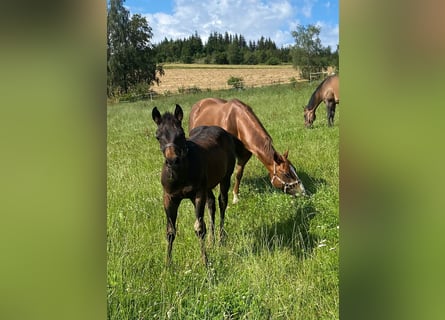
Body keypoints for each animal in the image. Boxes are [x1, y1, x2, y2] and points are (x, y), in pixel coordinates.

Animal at [152, 105, 236, 264]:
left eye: (181, 134)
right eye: (158, 136)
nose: (172, 160)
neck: (181, 173)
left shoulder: (198, 194)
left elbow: (199, 228)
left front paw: (205, 261)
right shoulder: (169, 197)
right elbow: (170, 231)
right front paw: (168, 264)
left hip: (225, 178)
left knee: (222, 202)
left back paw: (220, 239)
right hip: (207, 186)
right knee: (211, 204)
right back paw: (211, 241)